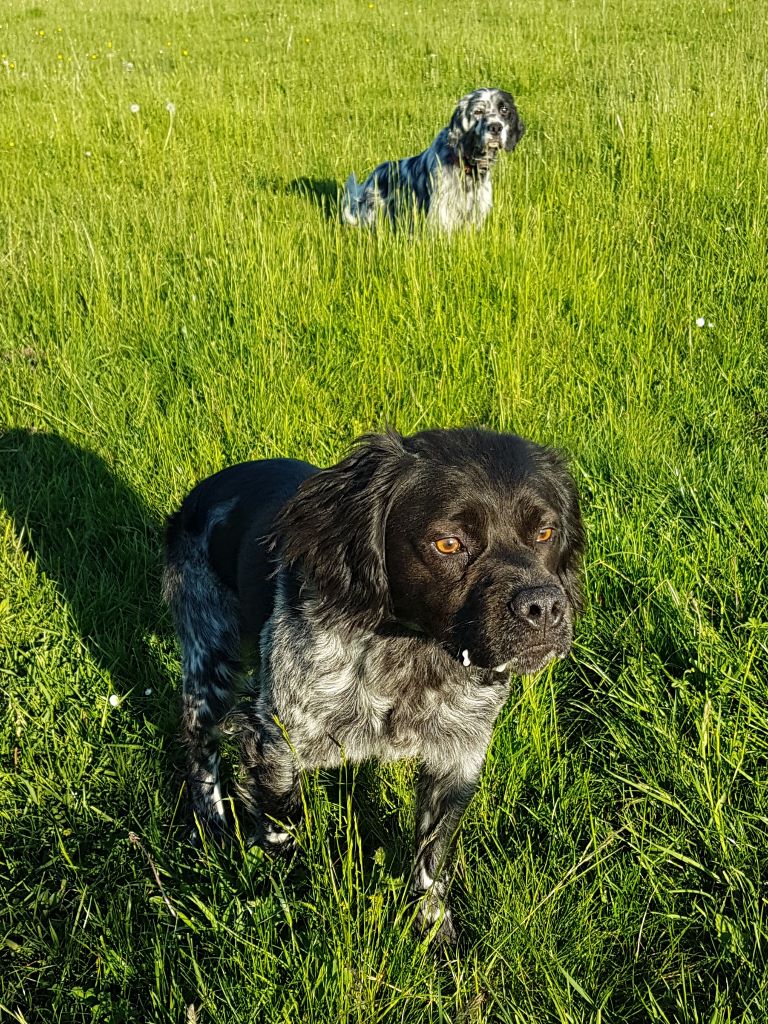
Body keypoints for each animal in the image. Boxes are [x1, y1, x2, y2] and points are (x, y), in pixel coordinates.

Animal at [163, 425, 581, 942]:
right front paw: (286, 889)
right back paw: (211, 826)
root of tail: (203, 491)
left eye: (545, 533)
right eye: (448, 543)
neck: (410, 659)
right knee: (199, 742)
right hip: (209, 656)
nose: (544, 608)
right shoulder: (276, 740)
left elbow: (431, 859)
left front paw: (433, 934)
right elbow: (283, 822)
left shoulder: (457, 758)